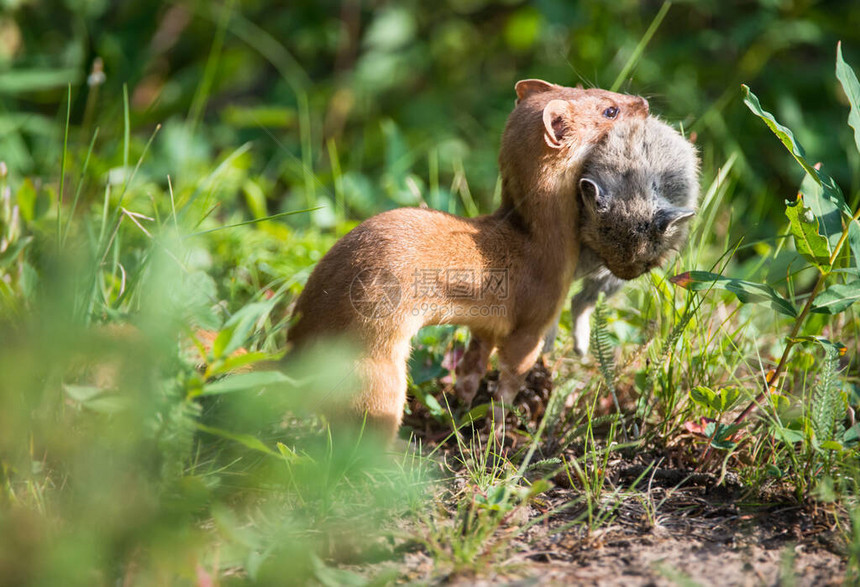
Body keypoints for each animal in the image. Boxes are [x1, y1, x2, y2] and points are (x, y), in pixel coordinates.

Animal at [286, 80, 648, 444]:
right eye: (610, 109)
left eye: (585, 86)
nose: (643, 102)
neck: (541, 243)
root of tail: (297, 348)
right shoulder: (536, 317)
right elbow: (512, 373)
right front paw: (498, 428)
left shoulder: (485, 321)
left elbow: (474, 360)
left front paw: (461, 405)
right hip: (377, 373)